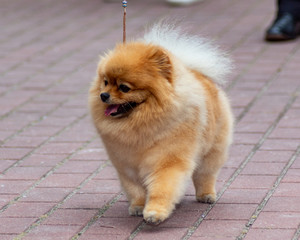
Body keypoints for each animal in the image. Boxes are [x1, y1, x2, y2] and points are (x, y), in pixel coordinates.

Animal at [89, 23, 234, 224]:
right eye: (105, 82)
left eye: (124, 87)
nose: (103, 95)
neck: (140, 125)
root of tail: (198, 73)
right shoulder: (127, 165)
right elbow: (135, 189)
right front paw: (138, 206)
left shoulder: (168, 161)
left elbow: (162, 188)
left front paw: (154, 212)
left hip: (212, 150)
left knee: (205, 174)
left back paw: (206, 195)